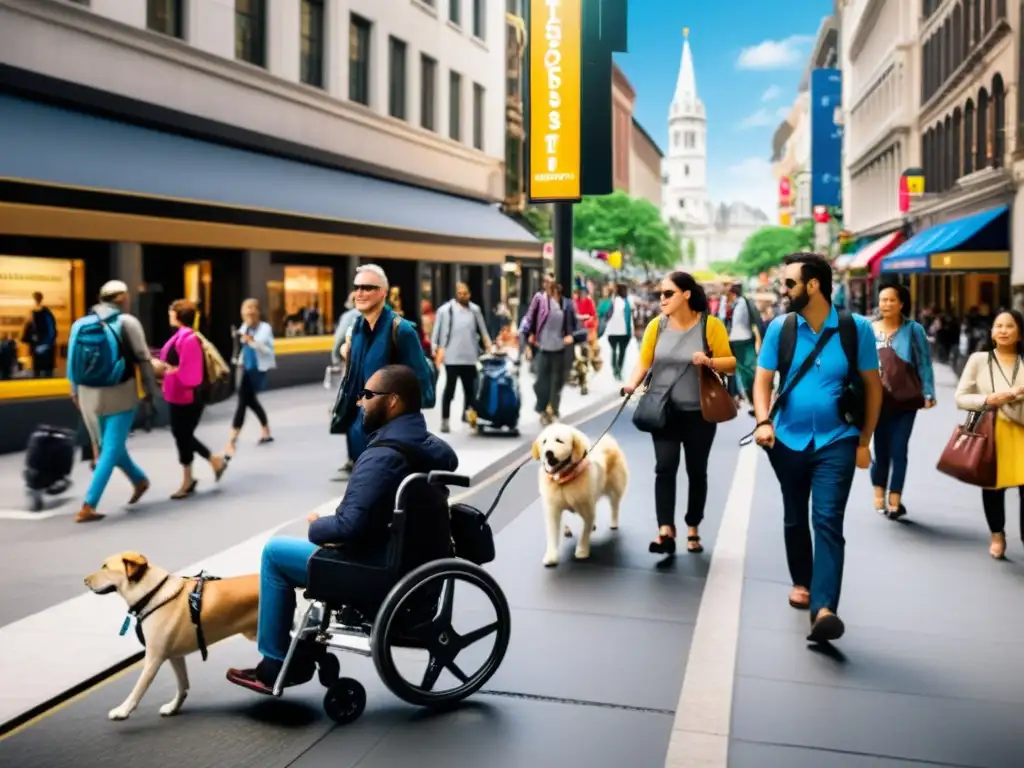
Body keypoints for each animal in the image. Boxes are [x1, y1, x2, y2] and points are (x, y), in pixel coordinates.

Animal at [84, 552, 260, 720]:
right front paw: (173, 707)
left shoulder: (153, 658)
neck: (152, 593)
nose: (85, 581)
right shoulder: (175, 657)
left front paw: (122, 711)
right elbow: (183, 686)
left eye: (105, 567)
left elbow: (138, 688)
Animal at [532, 423, 626, 569]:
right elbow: (553, 534)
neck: (564, 479)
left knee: (614, 505)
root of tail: (608, 440)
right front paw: (551, 556)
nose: (548, 452)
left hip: (614, 489)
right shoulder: (553, 510)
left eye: (559, 441)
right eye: (544, 442)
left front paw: (582, 550)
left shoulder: (586, 508)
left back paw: (613, 522)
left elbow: (584, 531)